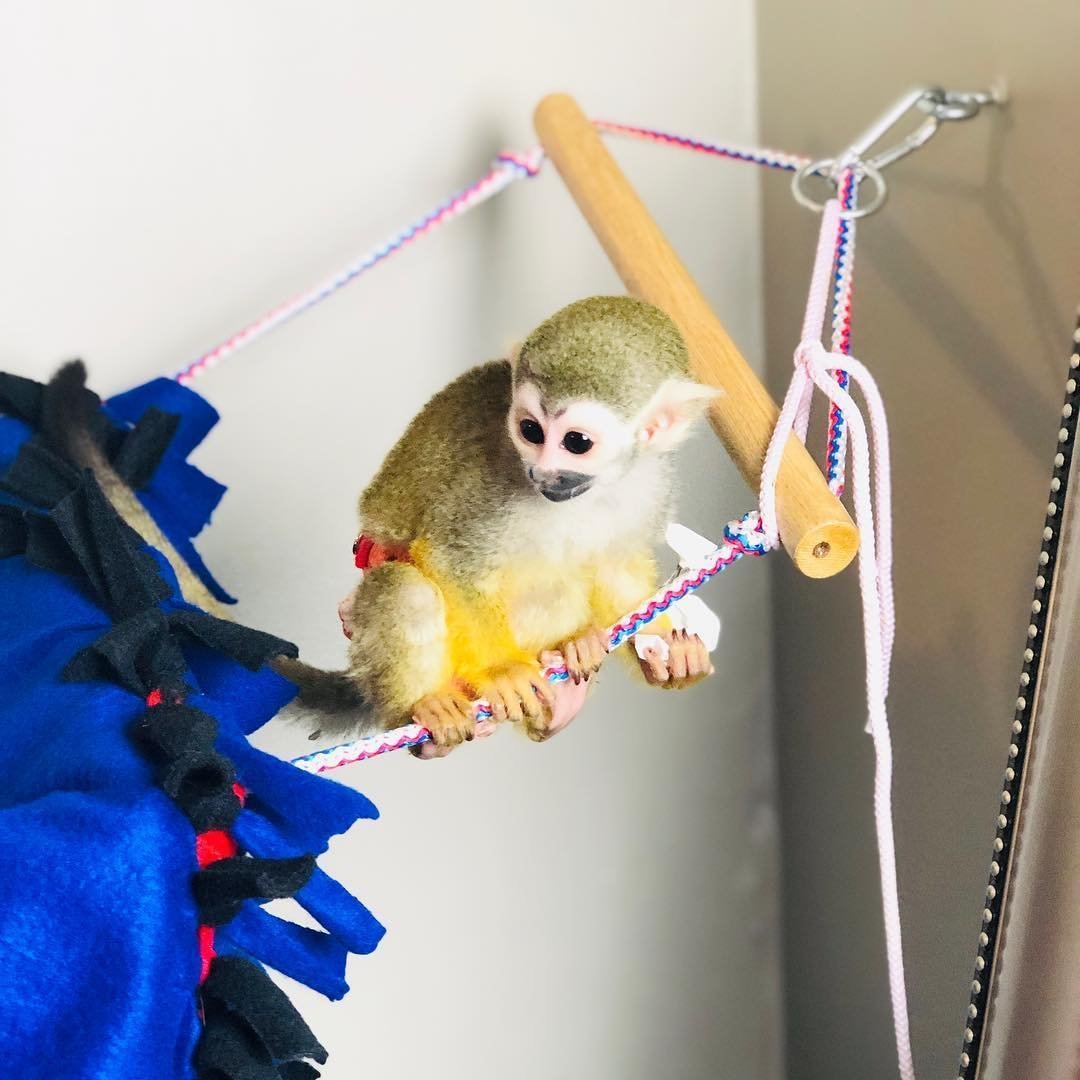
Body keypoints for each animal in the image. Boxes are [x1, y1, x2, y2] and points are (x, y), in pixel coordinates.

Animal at [275, 295, 719, 749]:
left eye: (576, 442)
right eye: (530, 430)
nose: (542, 474)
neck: (594, 488)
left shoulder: (653, 481)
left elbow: (617, 570)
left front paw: (663, 651)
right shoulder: (488, 485)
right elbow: (453, 559)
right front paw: (501, 671)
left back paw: (567, 676)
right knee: (406, 590)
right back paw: (426, 712)